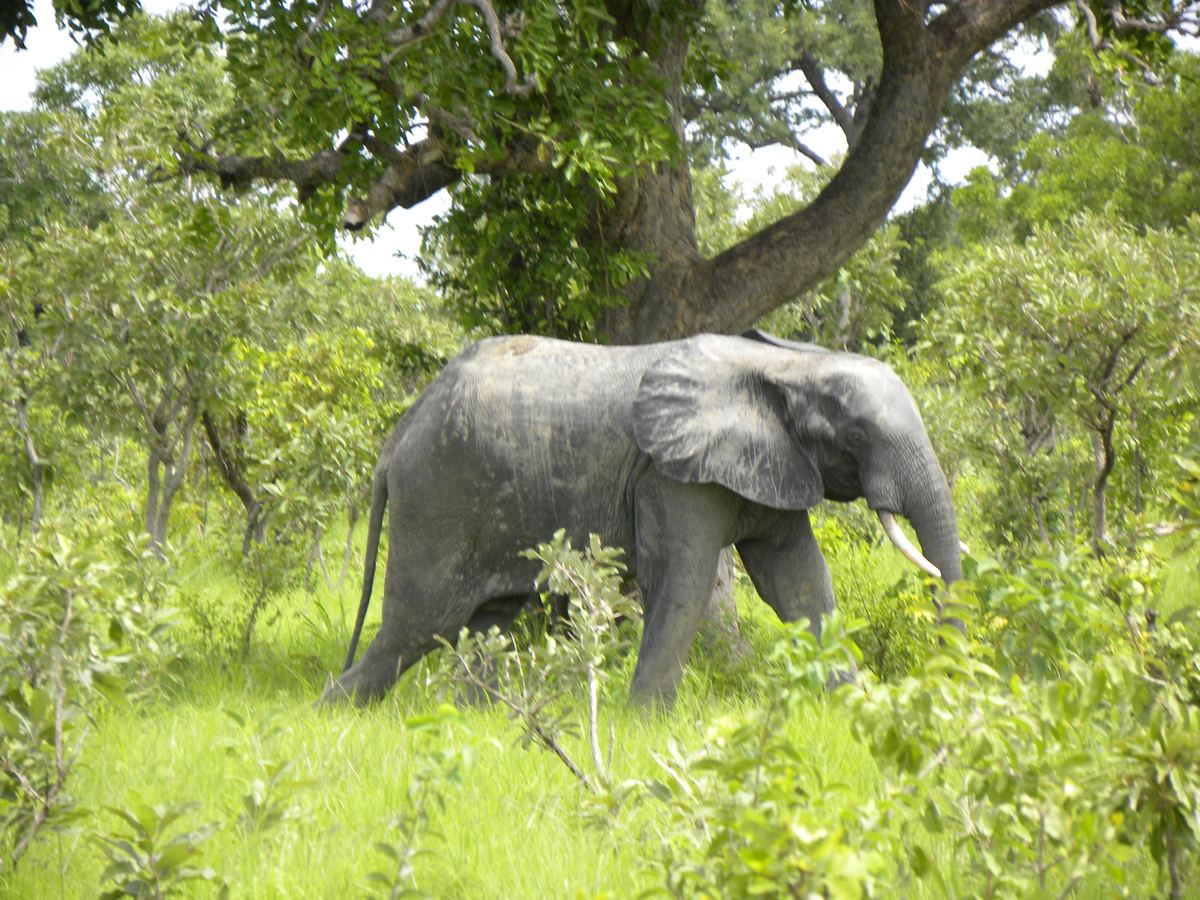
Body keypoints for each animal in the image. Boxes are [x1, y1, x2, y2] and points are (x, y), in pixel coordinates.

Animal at [324, 329, 962, 707]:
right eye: (856, 436)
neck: (783, 366)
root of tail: (396, 438)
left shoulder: (771, 462)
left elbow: (800, 581)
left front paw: (855, 708)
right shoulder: (670, 475)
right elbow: (684, 579)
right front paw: (644, 722)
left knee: (487, 624)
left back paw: (477, 716)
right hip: (438, 498)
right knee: (416, 625)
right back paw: (332, 712)